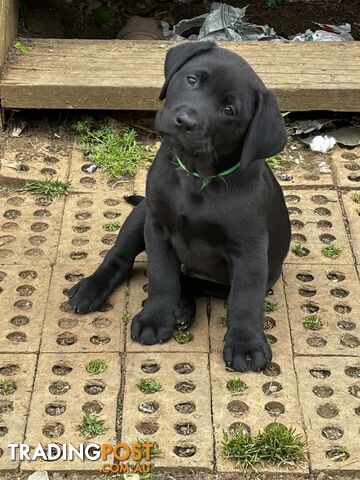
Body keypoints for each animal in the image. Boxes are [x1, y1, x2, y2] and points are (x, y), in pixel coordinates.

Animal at [69, 42, 292, 372]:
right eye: (192, 80)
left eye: (229, 111)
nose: (185, 120)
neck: (196, 179)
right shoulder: (157, 226)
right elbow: (161, 276)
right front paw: (155, 317)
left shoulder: (249, 249)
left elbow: (244, 299)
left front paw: (246, 344)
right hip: (141, 214)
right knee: (120, 258)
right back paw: (92, 288)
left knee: (193, 281)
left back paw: (184, 307)